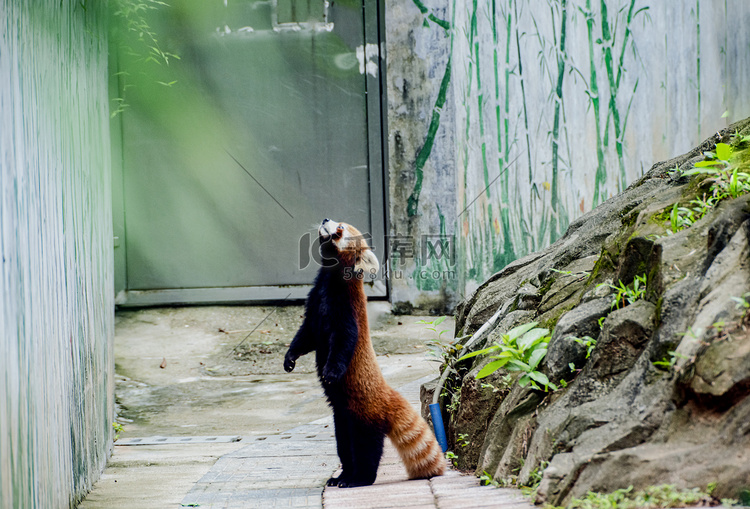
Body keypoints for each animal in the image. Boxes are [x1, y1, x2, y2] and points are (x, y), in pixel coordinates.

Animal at [284, 219, 446, 488]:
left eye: (340, 228)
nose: (325, 220)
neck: (330, 279)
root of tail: (387, 395)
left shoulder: (346, 311)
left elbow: (343, 343)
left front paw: (330, 372)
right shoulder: (314, 306)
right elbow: (305, 336)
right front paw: (289, 359)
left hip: (364, 417)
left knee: (366, 448)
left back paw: (359, 479)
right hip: (342, 418)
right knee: (344, 447)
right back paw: (342, 477)